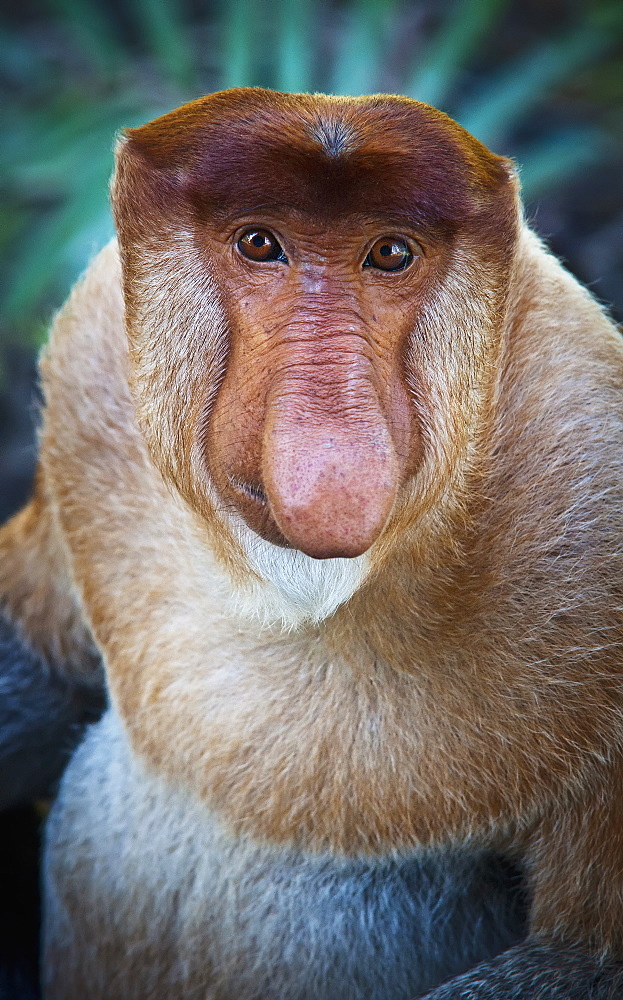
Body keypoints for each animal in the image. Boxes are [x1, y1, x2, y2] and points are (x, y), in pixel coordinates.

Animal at [1, 90, 623, 996]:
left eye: (389, 254)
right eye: (261, 243)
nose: (328, 444)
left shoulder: (592, 473)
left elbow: (580, 959)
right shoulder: (91, 370)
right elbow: (39, 665)